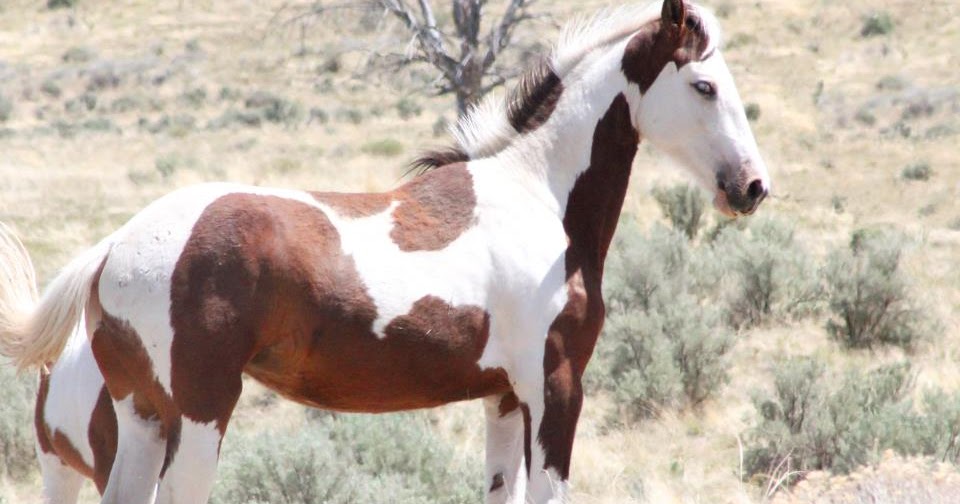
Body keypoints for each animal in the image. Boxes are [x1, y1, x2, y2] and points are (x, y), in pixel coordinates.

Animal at [0, 1, 769, 502]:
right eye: (703, 85)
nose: (753, 187)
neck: (536, 196)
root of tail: (113, 247)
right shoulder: (554, 389)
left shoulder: (503, 400)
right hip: (199, 412)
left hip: (143, 416)